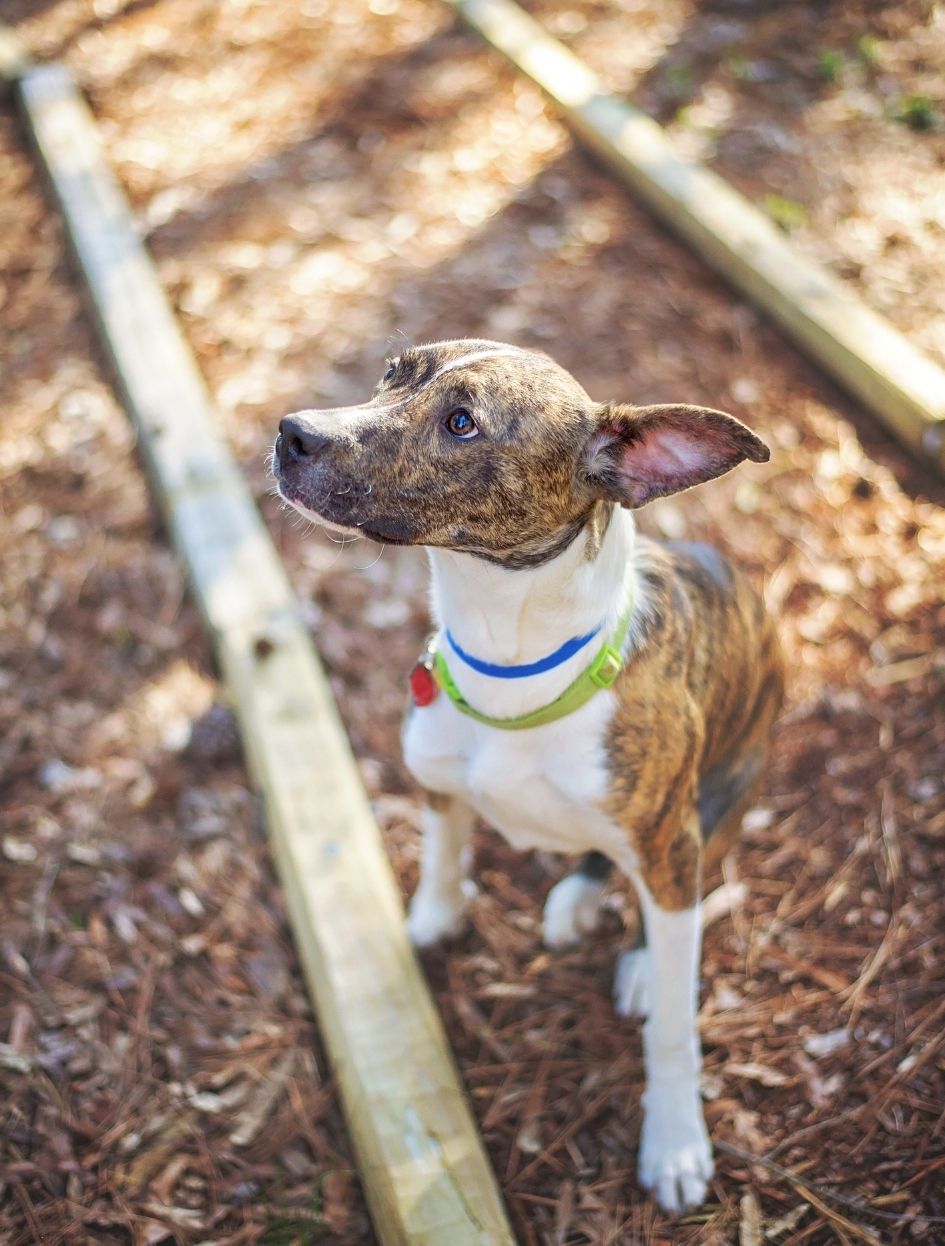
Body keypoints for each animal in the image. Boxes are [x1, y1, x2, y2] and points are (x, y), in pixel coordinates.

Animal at [274, 336, 782, 1211]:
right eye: (393, 371)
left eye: (462, 423)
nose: (291, 432)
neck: (508, 661)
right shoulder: (436, 781)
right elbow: (443, 855)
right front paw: (430, 922)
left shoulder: (667, 837)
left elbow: (674, 1032)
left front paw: (674, 1140)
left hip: (713, 804)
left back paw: (637, 959)